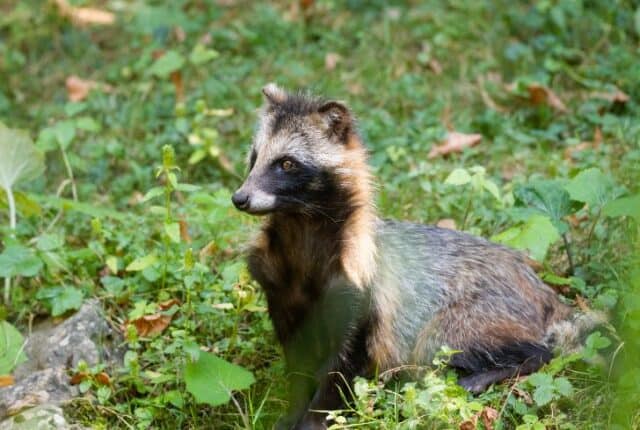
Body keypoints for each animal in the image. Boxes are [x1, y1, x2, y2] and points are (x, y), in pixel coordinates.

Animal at [231, 84, 602, 430]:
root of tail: (542, 291)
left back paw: (494, 371)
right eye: (254, 157)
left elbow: (341, 366)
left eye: (287, 163)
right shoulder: (281, 290)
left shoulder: (359, 291)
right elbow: (298, 365)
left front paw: (315, 418)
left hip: (477, 312)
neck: (303, 234)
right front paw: (291, 412)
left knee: (470, 343)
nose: (240, 198)